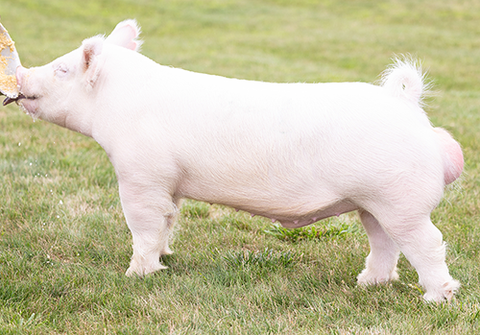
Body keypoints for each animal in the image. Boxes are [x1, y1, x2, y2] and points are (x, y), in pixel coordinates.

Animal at [7, 19, 464, 304]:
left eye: (63, 69)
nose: (23, 74)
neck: (117, 105)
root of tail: (406, 104)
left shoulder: (140, 175)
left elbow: (144, 225)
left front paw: (136, 275)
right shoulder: (169, 183)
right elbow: (169, 219)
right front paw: (167, 258)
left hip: (400, 200)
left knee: (428, 242)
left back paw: (437, 298)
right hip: (374, 202)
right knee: (384, 243)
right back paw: (366, 283)